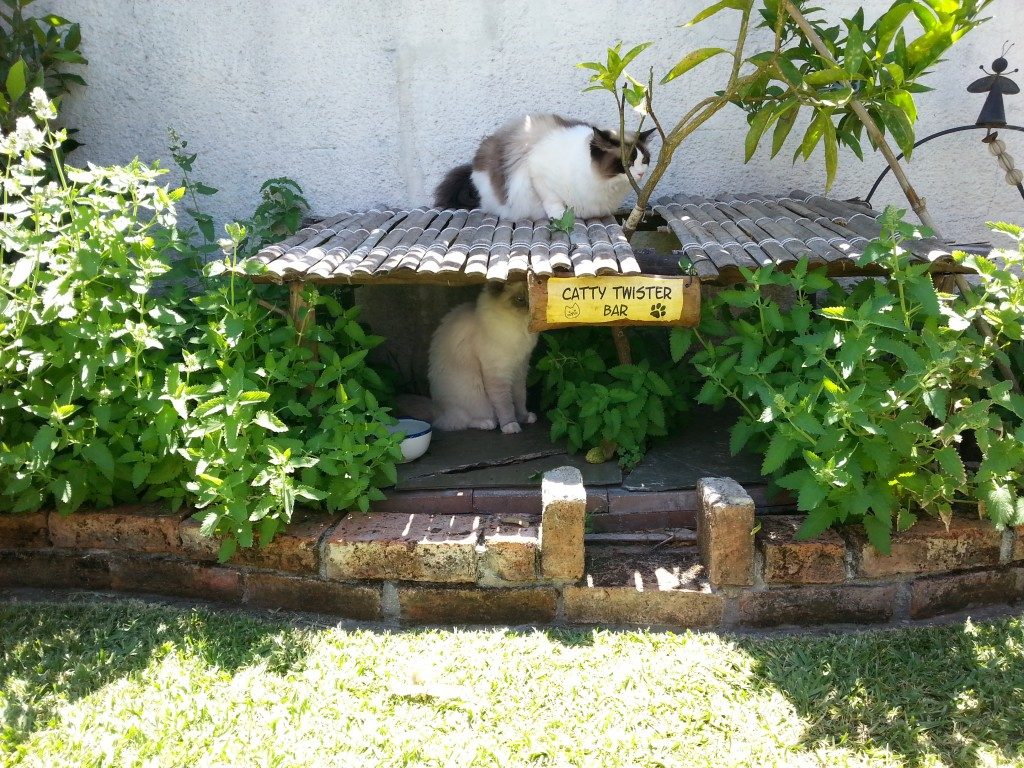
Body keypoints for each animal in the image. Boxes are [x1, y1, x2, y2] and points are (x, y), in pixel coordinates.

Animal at [428, 286, 540, 436]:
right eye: (520, 299)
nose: (531, 309)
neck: (520, 329)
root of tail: (436, 412)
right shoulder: (498, 374)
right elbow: (506, 404)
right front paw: (510, 426)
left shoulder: (520, 369)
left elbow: (520, 398)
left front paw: (524, 418)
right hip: (473, 391)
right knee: (461, 421)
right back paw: (487, 423)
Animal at [436, 112, 651, 219]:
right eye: (627, 163)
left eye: (644, 160)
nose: (641, 174)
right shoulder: (538, 174)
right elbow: (552, 200)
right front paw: (560, 216)